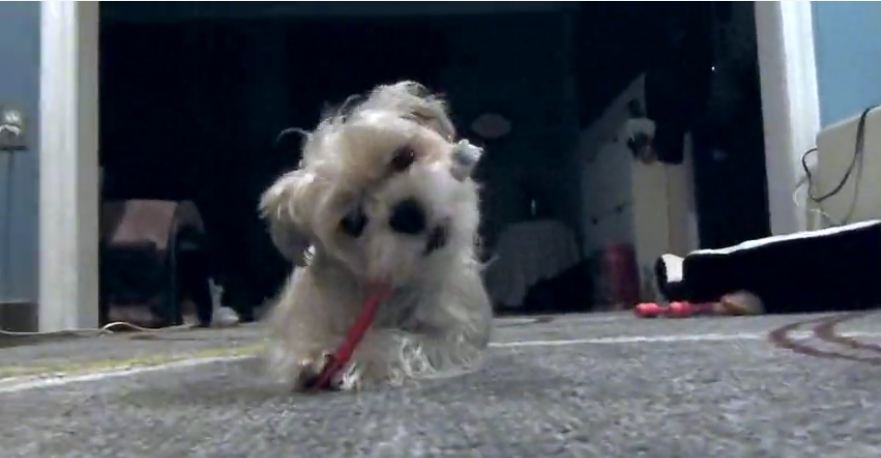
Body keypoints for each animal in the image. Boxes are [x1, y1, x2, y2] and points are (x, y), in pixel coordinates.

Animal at [262, 79, 492, 390]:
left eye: (404, 157)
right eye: (353, 222)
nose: (406, 213)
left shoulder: (454, 332)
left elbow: (402, 340)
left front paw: (363, 356)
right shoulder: (302, 329)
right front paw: (317, 356)